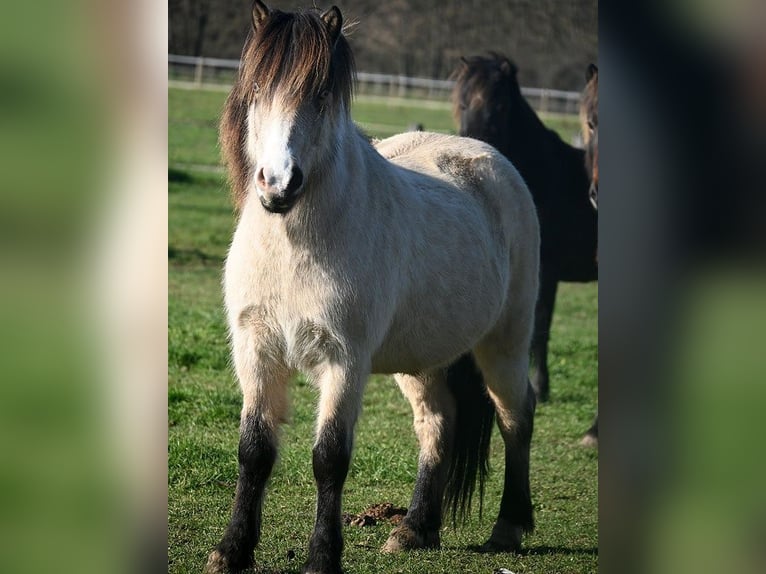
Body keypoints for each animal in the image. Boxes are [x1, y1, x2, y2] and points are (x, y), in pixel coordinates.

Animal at [205, 4, 541, 574]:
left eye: (319, 94)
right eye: (257, 89)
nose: (278, 184)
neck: (294, 245)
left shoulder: (345, 360)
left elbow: (329, 458)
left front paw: (322, 558)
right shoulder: (257, 352)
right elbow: (254, 451)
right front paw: (232, 551)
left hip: (506, 341)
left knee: (515, 416)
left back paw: (508, 527)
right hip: (423, 358)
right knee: (438, 421)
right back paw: (414, 529)